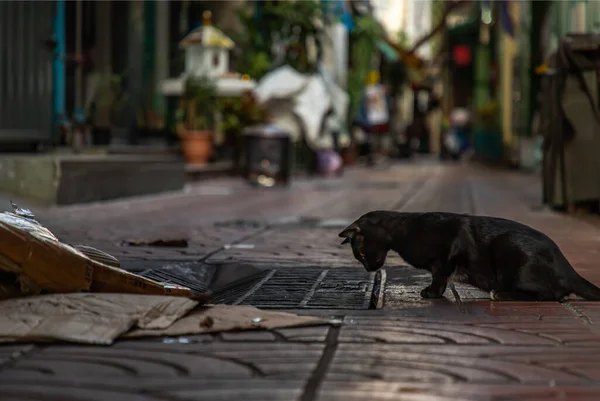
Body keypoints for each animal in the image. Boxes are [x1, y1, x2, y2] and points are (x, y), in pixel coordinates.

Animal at [338, 209, 600, 300]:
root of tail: (569, 267)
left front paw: (432, 293)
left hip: (510, 248)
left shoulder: (450, 249)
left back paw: (501, 295)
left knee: (556, 294)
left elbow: (439, 276)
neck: (404, 230)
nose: (369, 269)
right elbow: (440, 276)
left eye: (361, 254)